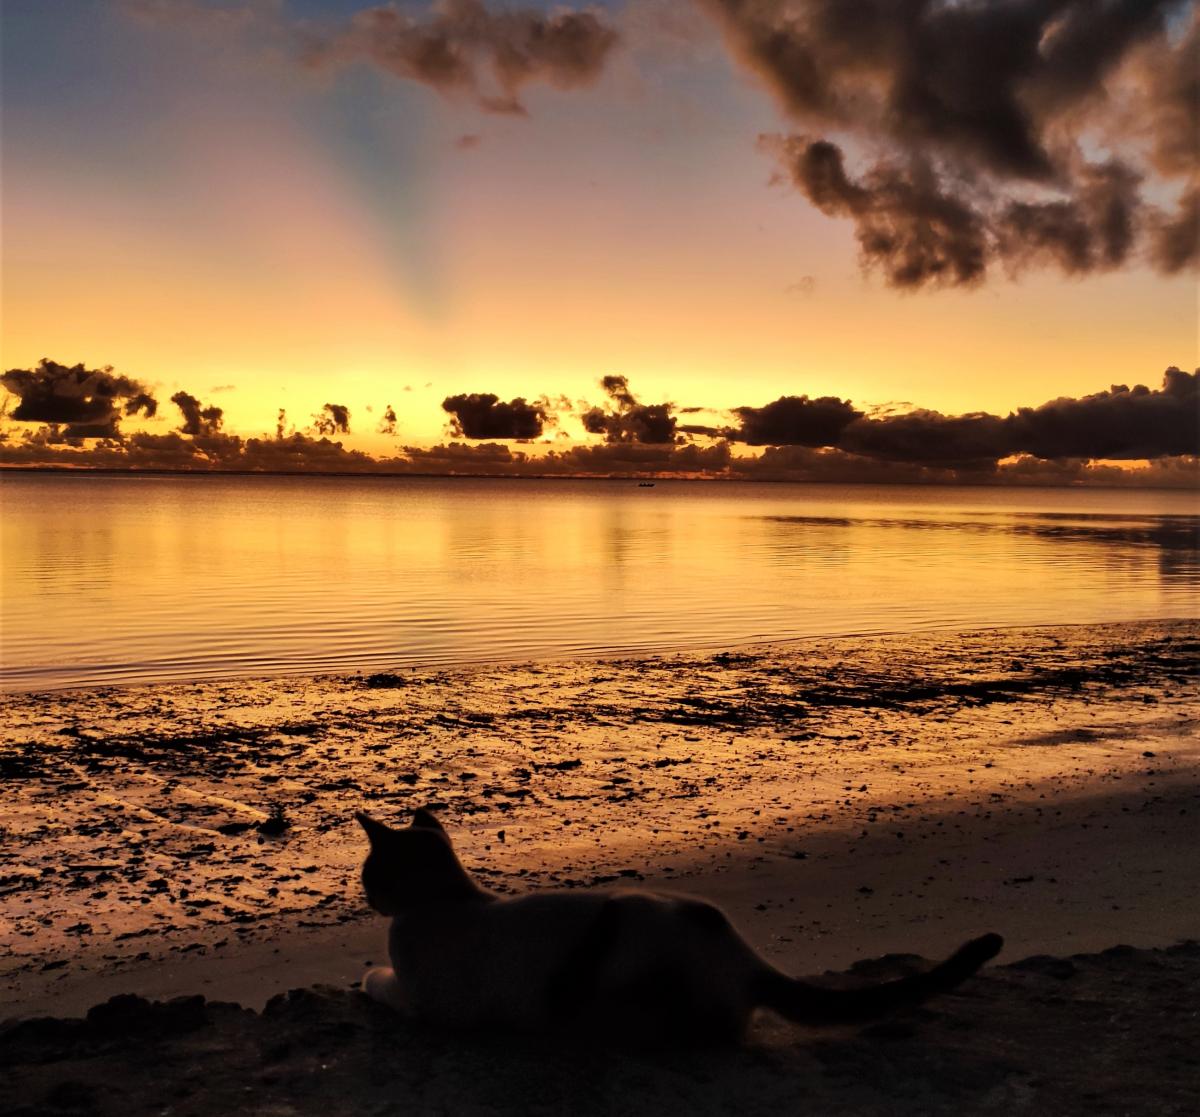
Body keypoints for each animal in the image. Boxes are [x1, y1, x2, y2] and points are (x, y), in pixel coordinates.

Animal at [357, 806, 1003, 1046]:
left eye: (368, 873)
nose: (365, 894)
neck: (451, 899)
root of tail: (746, 958)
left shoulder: (428, 1002)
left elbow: (373, 978)